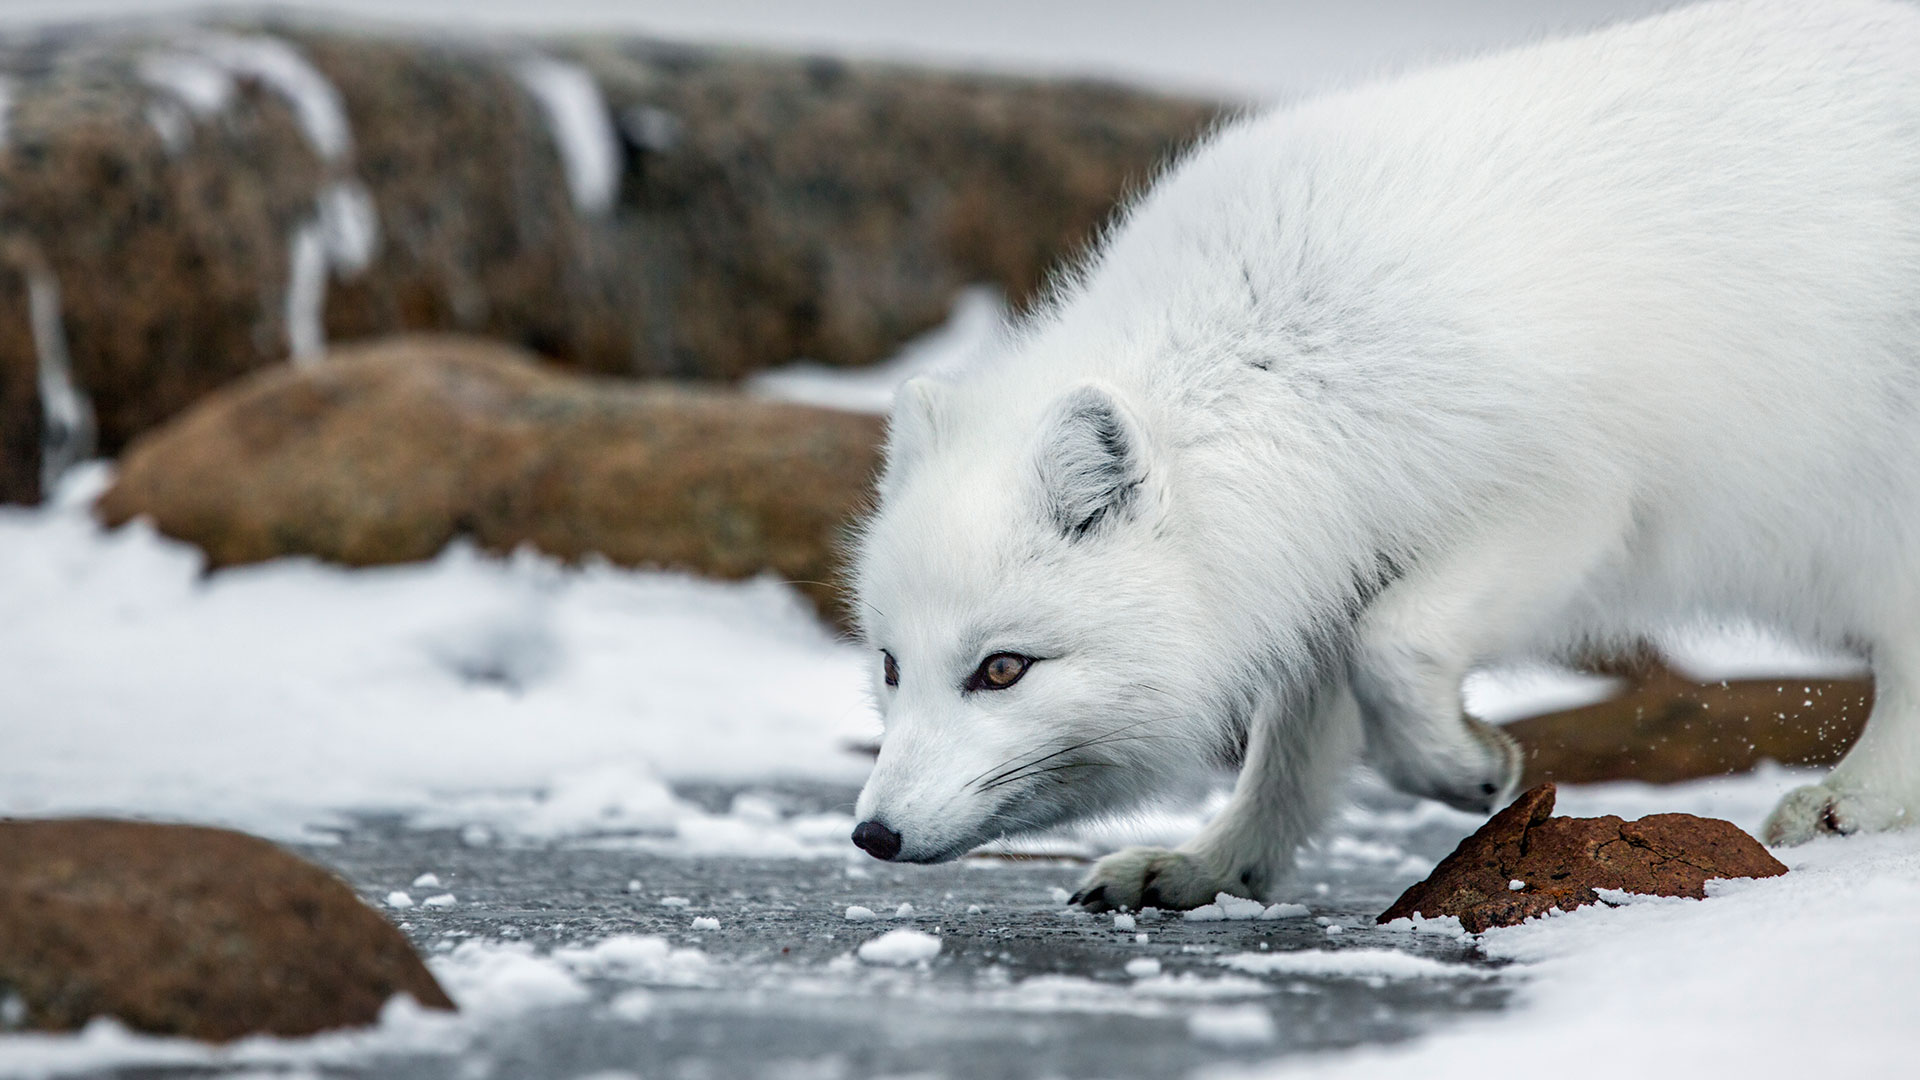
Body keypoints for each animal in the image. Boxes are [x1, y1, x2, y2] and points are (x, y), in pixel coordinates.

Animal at [848, 0, 1920, 907]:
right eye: (891, 665)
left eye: (1002, 669)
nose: (873, 835)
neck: (1284, 363)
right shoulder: (1322, 555)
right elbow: (1293, 746)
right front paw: (1216, 866)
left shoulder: (1567, 504)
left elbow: (1393, 646)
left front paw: (1466, 766)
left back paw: (1852, 801)